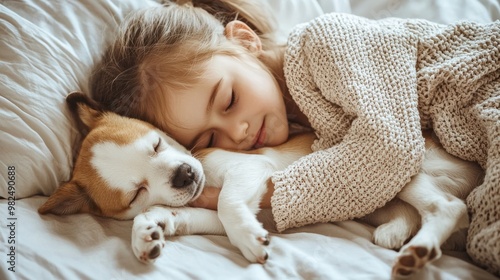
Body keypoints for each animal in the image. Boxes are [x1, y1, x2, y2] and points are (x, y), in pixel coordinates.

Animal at [39, 92, 484, 278]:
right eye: (136, 192)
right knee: (419, 211)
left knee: (448, 208)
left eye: (156, 143)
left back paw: (419, 249)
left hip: (397, 169)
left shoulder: (251, 171)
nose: (184, 175)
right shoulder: (227, 206)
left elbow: (226, 205)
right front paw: (149, 230)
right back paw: (397, 234)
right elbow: (191, 214)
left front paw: (251, 242)